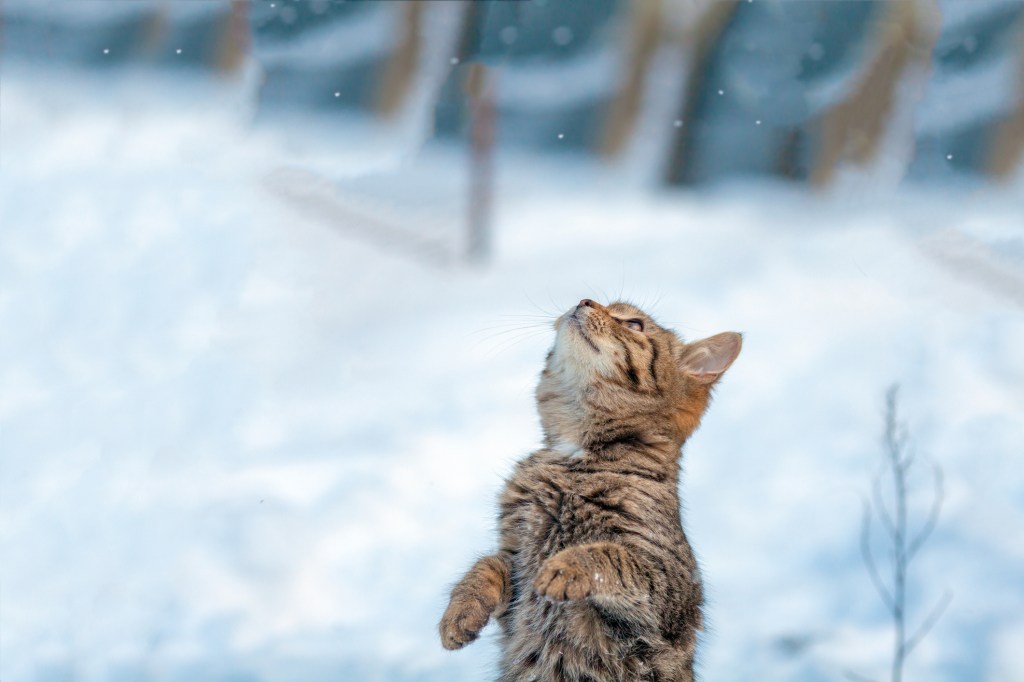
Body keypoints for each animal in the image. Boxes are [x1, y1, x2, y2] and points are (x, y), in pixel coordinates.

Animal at [436, 296, 741, 679]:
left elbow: (611, 555)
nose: (584, 300)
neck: (575, 454)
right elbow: (486, 564)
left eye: (634, 324)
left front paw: (564, 568)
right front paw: (460, 611)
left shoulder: (668, 585)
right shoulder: (514, 557)